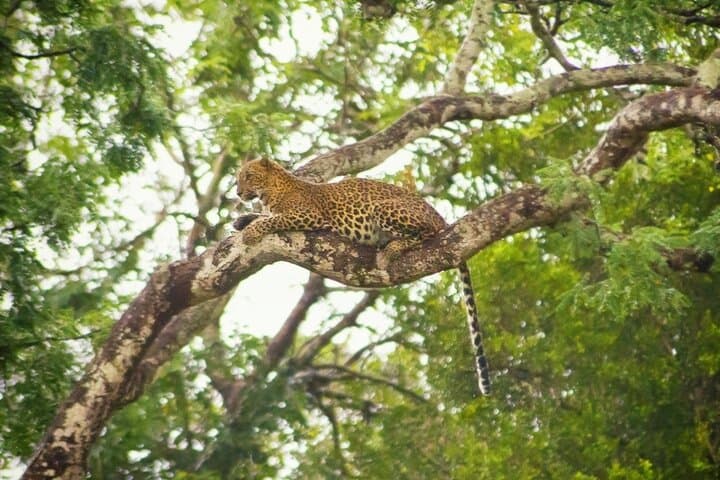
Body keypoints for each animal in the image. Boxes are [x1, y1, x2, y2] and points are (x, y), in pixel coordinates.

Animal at [235, 157, 491, 395]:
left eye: (248, 176)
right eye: (238, 178)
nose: (237, 193)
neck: (270, 191)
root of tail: (440, 216)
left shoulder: (307, 214)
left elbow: (273, 219)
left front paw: (250, 232)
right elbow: (261, 215)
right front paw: (242, 220)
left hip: (385, 209)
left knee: (427, 234)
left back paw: (391, 248)